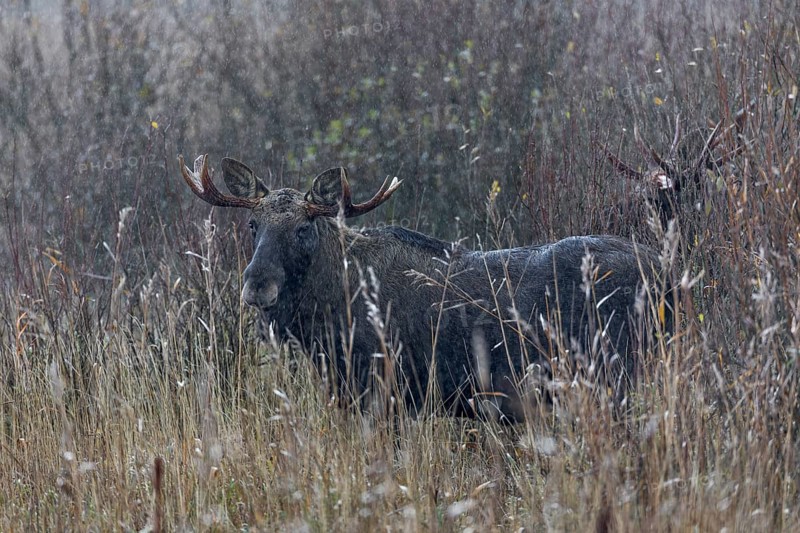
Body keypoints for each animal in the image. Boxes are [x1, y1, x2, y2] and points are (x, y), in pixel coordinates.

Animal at [179, 154, 668, 421]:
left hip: (612, 372)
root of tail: (664, 269)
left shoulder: (381, 389)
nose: (257, 286)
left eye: (303, 228)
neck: (326, 322)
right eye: (253, 224)